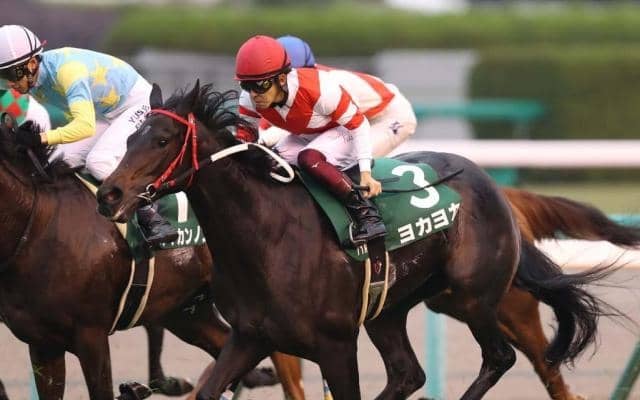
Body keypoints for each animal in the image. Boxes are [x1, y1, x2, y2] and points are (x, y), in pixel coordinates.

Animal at [98, 81, 598, 400]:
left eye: (163, 139)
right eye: (131, 135)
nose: (109, 194)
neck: (267, 238)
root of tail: (492, 185)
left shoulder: (335, 345)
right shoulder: (250, 336)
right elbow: (210, 390)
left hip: (472, 297)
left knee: (499, 358)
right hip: (388, 309)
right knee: (408, 374)